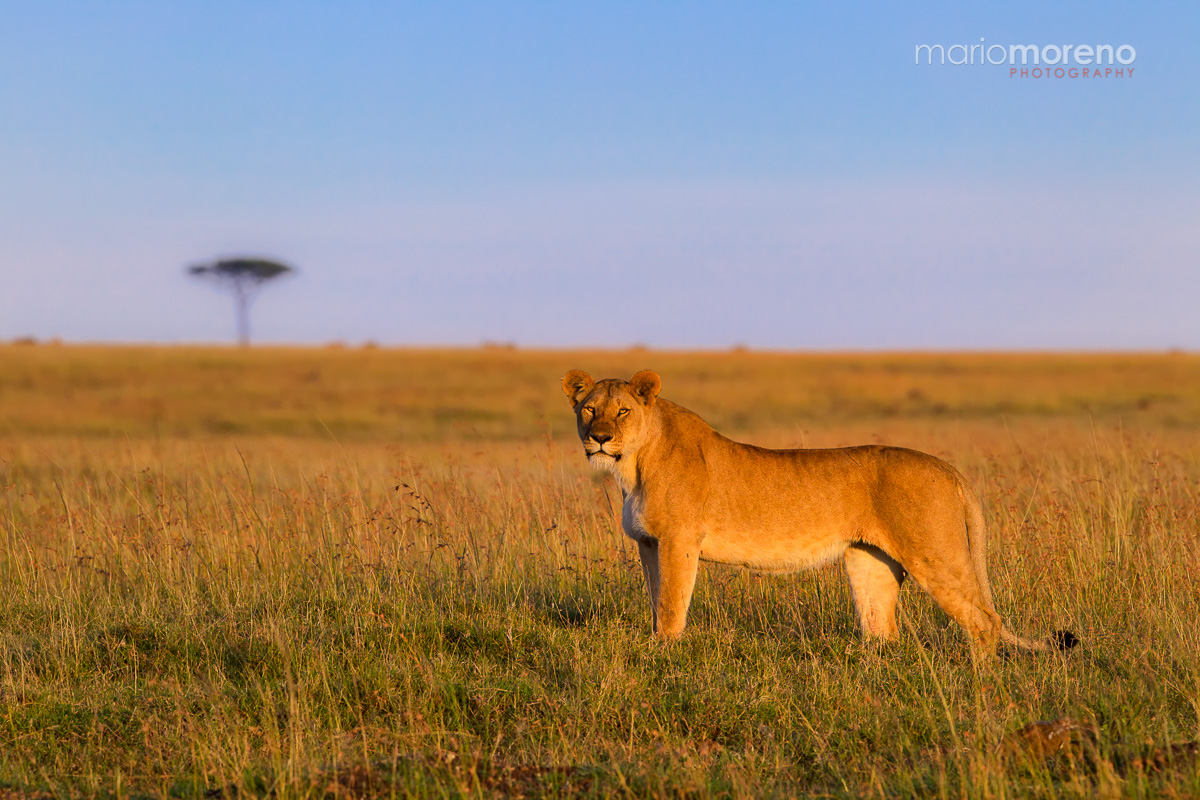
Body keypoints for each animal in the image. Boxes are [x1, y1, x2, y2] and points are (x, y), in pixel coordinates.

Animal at [562, 368, 1076, 654]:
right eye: (588, 409)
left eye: (622, 412)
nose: (600, 438)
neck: (633, 465)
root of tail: (947, 466)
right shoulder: (649, 543)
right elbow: (655, 601)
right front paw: (654, 645)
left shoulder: (679, 541)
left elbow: (670, 605)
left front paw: (664, 656)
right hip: (870, 562)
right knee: (883, 630)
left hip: (936, 553)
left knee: (983, 621)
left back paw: (978, 682)